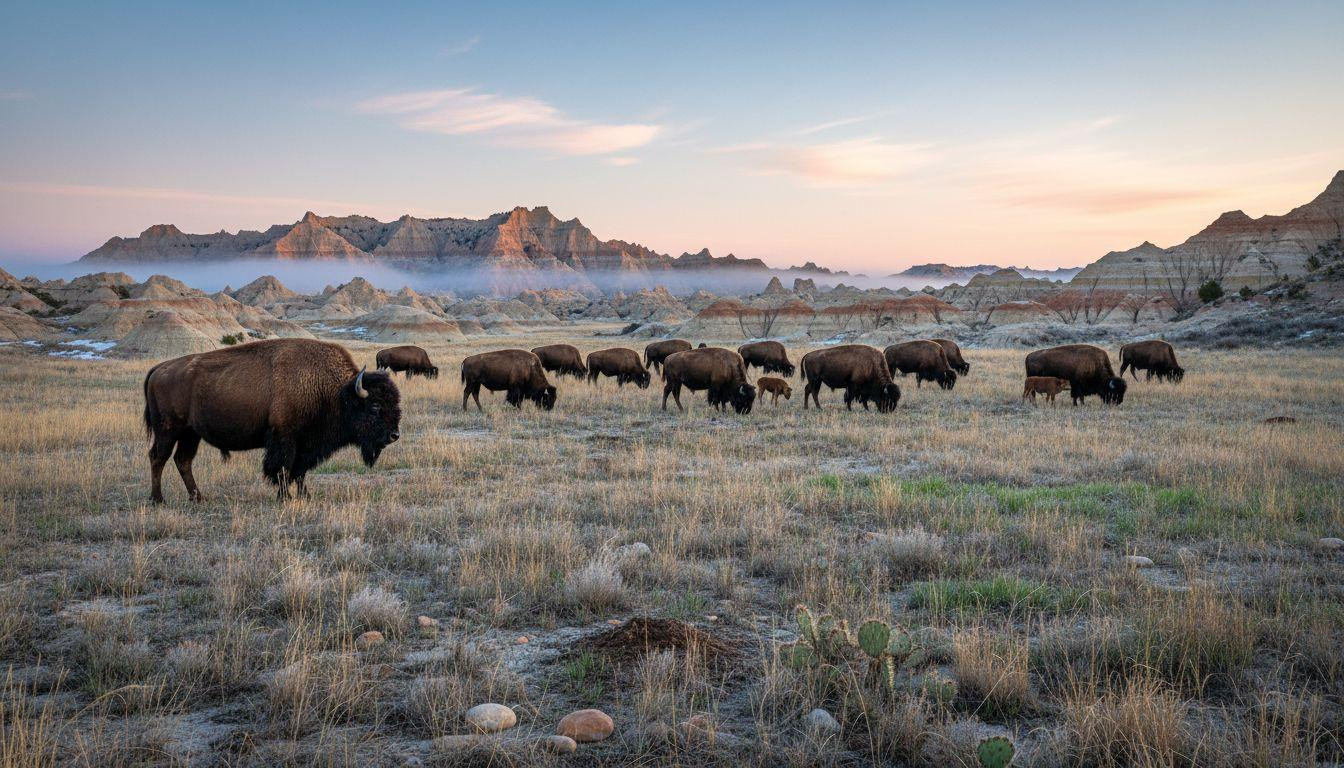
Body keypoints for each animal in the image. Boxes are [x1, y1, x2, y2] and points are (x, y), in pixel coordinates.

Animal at [143, 338, 401, 502]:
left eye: (395, 404)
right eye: (375, 406)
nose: (394, 435)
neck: (334, 393)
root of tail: (158, 369)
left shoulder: (305, 446)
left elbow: (300, 471)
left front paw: (305, 495)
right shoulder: (285, 439)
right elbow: (283, 469)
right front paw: (285, 497)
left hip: (190, 434)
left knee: (183, 460)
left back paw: (198, 497)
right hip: (167, 430)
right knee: (158, 457)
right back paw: (158, 499)